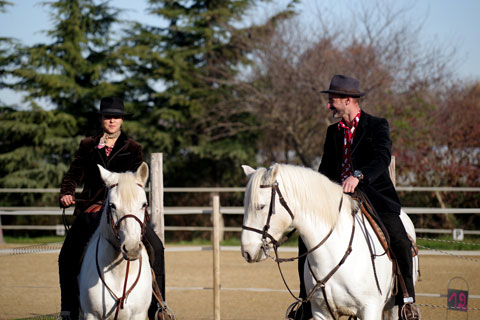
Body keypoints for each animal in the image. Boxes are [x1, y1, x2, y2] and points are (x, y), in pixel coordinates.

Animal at [78, 164, 152, 318]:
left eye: (144, 204)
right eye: (112, 205)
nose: (131, 248)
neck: (119, 273)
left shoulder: (138, 315)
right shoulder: (91, 315)